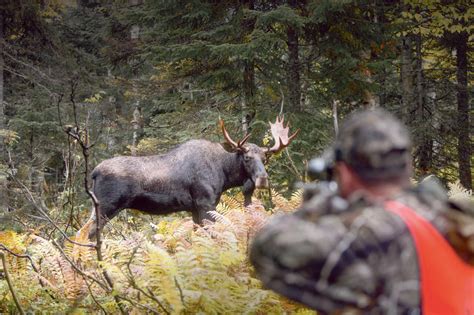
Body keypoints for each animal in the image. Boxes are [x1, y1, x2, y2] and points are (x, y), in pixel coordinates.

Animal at [85, 116, 298, 237]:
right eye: (247, 157)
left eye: (265, 158)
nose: (263, 179)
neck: (224, 173)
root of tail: (94, 172)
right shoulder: (206, 203)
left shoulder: (194, 208)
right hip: (106, 206)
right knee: (87, 235)